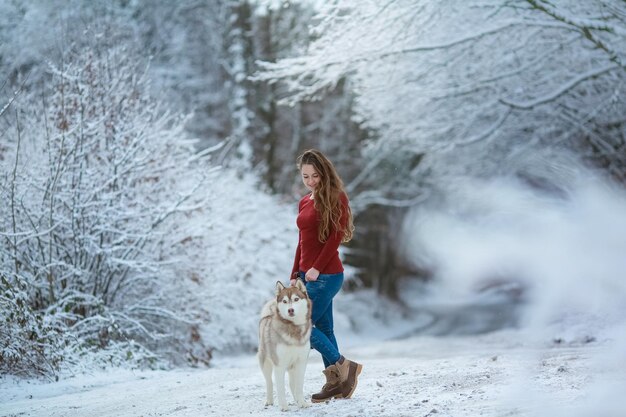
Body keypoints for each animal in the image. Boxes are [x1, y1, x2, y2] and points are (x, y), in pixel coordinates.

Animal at [258, 280, 310, 410]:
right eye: (285, 301)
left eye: (296, 299)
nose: (290, 310)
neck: (294, 329)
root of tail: (267, 316)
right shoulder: (279, 364)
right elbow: (280, 387)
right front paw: (283, 406)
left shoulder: (301, 362)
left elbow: (299, 386)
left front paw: (302, 402)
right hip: (265, 363)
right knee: (269, 382)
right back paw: (269, 400)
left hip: (292, 366)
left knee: (292, 384)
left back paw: (297, 400)